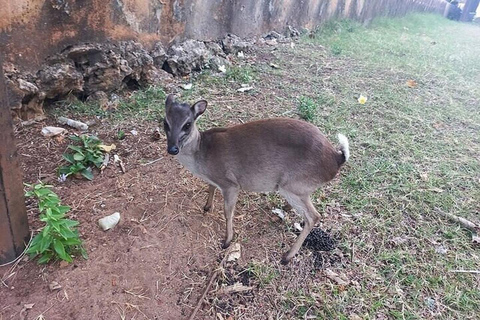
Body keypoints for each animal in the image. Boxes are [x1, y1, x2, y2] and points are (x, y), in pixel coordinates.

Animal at [164, 95, 348, 264]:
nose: (172, 149)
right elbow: (210, 187)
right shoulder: (215, 180)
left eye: (187, 124)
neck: (201, 154)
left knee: (313, 216)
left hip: (294, 185)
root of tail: (337, 159)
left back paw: (287, 256)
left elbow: (228, 212)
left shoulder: (231, 183)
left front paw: (227, 241)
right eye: (165, 122)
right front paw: (207, 207)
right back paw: (284, 209)